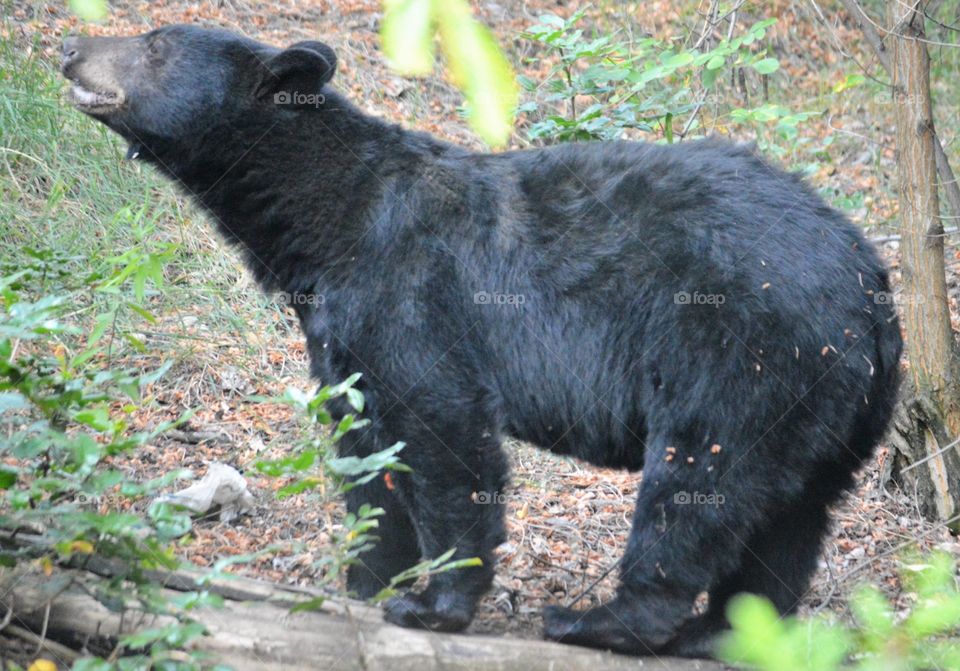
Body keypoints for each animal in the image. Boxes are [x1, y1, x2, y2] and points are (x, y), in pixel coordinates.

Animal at [61, 25, 902, 657]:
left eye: (154, 43)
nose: (71, 46)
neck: (326, 219)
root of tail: (870, 283)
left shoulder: (412, 291)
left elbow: (442, 434)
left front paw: (434, 602)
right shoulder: (339, 331)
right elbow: (362, 449)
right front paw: (368, 579)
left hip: (740, 350)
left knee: (698, 482)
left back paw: (603, 620)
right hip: (828, 400)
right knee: (792, 520)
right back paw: (725, 631)